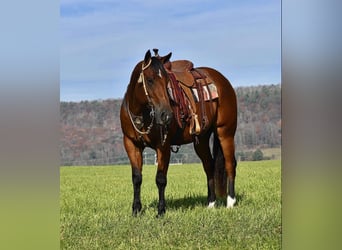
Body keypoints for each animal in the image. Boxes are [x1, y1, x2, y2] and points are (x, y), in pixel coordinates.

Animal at [121, 49, 238, 217]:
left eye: (166, 82)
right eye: (149, 80)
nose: (166, 115)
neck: (141, 114)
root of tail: (222, 80)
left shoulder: (163, 146)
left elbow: (161, 179)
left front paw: (161, 211)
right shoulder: (131, 144)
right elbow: (137, 178)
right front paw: (136, 210)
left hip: (225, 132)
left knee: (230, 164)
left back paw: (230, 202)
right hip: (201, 139)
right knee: (209, 165)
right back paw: (211, 203)